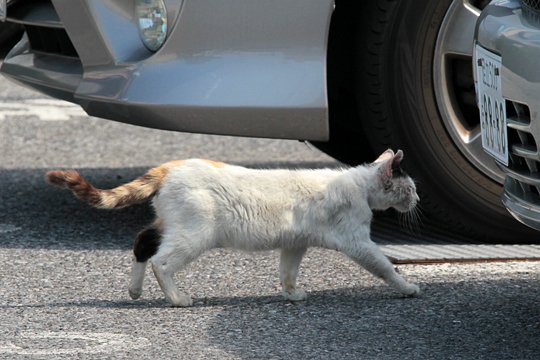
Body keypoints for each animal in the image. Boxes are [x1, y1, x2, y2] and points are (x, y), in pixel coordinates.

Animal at [44, 149, 420, 306]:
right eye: (412, 187)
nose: (418, 199)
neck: (359, 183)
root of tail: (171, 166)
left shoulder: (294, 243)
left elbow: (288, 271)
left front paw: (291, 294)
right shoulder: (357, 242)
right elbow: (384, 267)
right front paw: (407, 287)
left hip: (170, 225)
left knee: (142, 242)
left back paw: (135, 291)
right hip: (195, 235)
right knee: (160, 262)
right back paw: (177, 299)